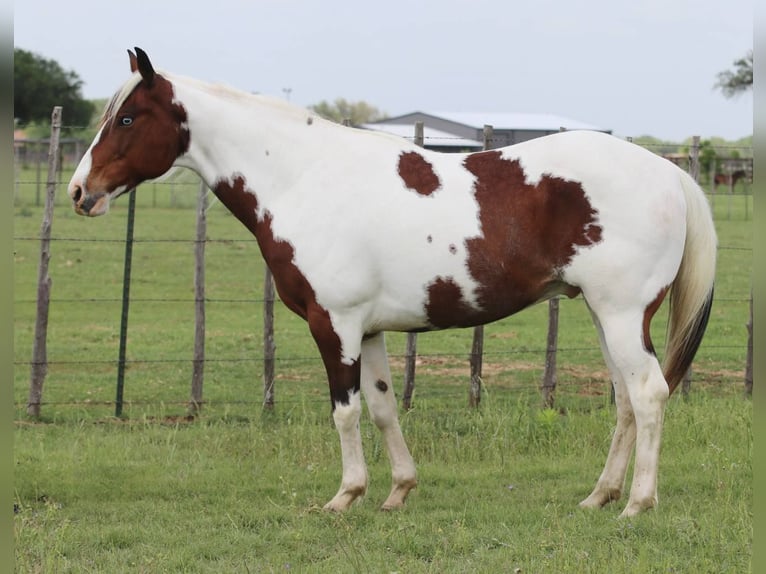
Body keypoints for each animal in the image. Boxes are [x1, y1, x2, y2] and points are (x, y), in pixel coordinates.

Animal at [68, 48, 716, 518]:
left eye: (127, 118)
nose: (79, 192)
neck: (303, 177)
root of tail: (666, 171)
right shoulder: (370, 328)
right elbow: (381, 408)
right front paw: (397, 491)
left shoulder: (334, 324)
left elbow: (345, 412)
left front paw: (344, 496)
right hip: (606, 316)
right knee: (626, 402)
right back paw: (599, 496)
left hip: (622, 314)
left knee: (648, 394)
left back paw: (636, 505)